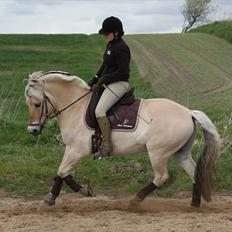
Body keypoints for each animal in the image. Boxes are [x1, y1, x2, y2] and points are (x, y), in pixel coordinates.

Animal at [24, 71, 220, 208]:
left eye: (37, 104)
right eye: (28, 104)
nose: (33, 130)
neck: (76, 107)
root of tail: (188, 112)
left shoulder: (79, 150)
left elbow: (62, 171)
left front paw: (50, 199)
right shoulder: (70, 148)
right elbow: (63, 172)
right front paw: (83, 191)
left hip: (158, 152)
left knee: (161, 177)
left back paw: (134, 202)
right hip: (181, 152)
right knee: (194, 172)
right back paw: (194, 205)